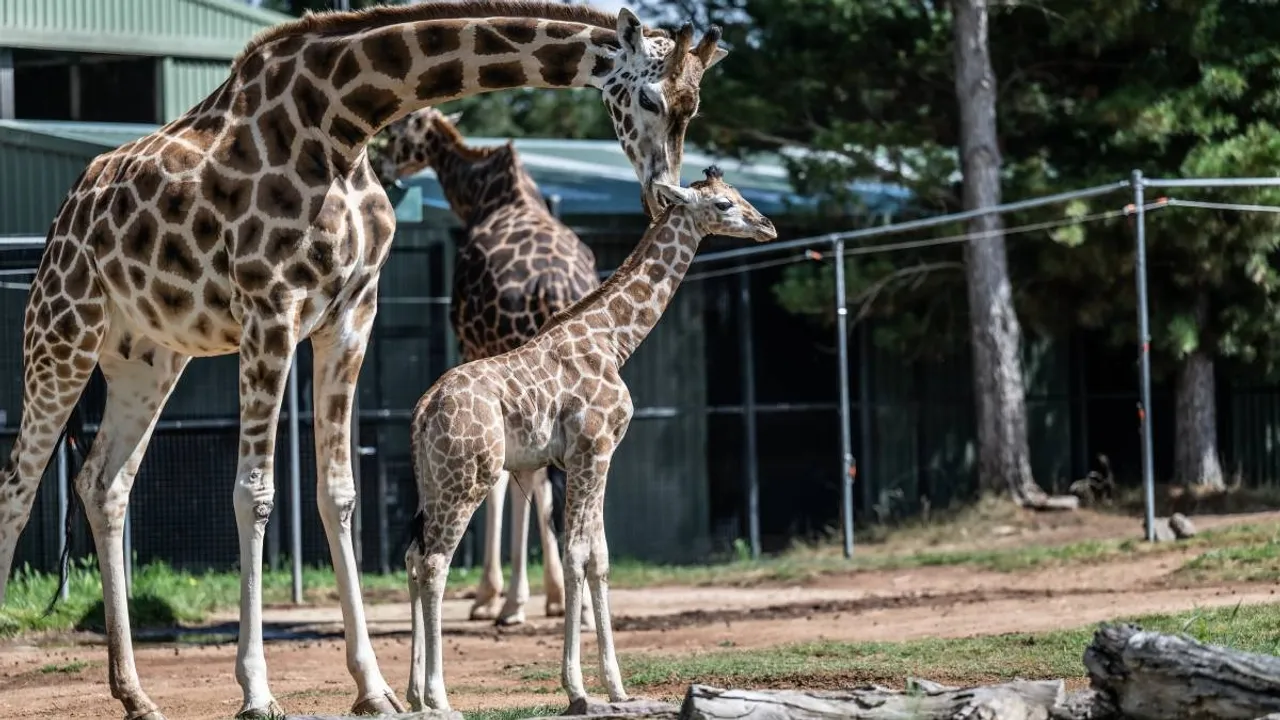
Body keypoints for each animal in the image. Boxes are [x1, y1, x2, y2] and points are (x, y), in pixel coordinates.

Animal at [374, 106, 598, 628]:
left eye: (399, 130)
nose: (379, 161)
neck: (484, 197)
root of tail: (553, 287)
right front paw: (552, 595)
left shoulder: (472, 348)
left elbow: (504, 480)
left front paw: (491, 596)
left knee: (532, 477)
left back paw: (514, 602)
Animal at [404, 166, 777, 711]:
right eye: (725, 204)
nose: (767, 226)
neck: (614, 340)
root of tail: (424, 411)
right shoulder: (591, 450)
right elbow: (576, 554)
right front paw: (577, 687)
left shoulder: (597, 458)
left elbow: (600, 557)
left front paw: (617, 687)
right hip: (467, 479)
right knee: (434, 563)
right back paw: (437, 696)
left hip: (432, 483)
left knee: (414, 558)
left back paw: (411, 693)